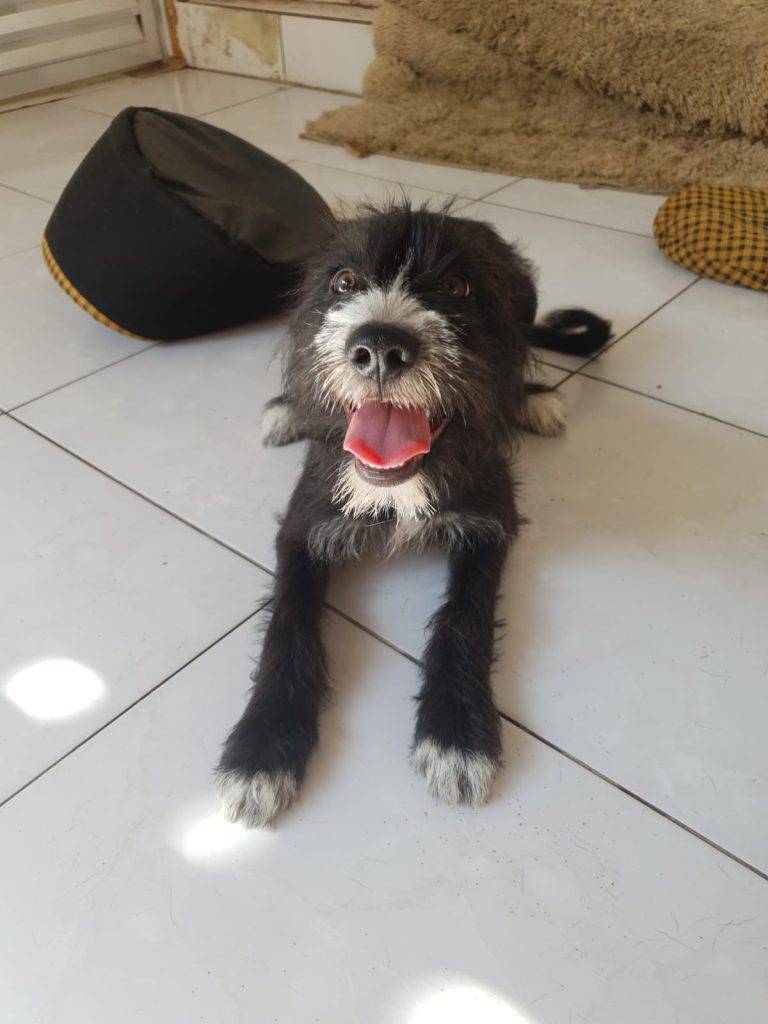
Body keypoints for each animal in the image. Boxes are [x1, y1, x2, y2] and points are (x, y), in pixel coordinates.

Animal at [216, 201, 610, 826]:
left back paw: (534, 398)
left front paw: (457, 734)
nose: (378, 345)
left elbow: (462, 618)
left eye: (458, 286)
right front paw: (261, 749)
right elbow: (289, 622)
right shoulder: (303, 527)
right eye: (345, 282)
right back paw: (288, 410)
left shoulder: (489, 523)